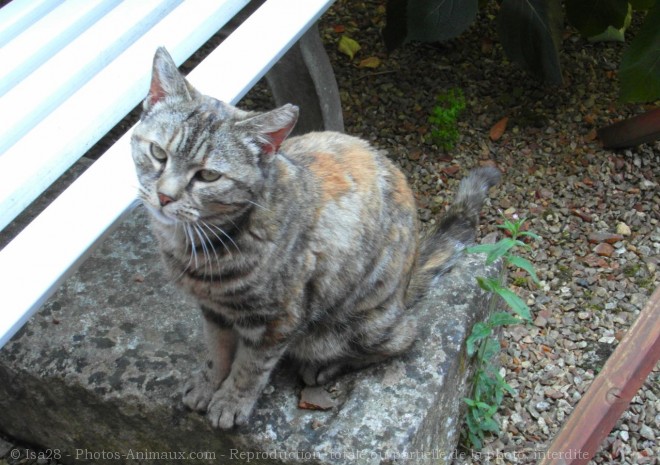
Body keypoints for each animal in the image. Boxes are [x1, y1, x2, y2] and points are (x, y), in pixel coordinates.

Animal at [130, 47, 500, 428]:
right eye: (158, 153)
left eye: (208, 176)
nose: (165, 196)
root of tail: (406, 283)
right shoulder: (213, 311)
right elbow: (217, 351)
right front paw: (208, 383)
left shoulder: (276, 321)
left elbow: (250, 367)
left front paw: (232, 400)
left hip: (349, 329)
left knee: (404, 337)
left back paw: (326, 366)